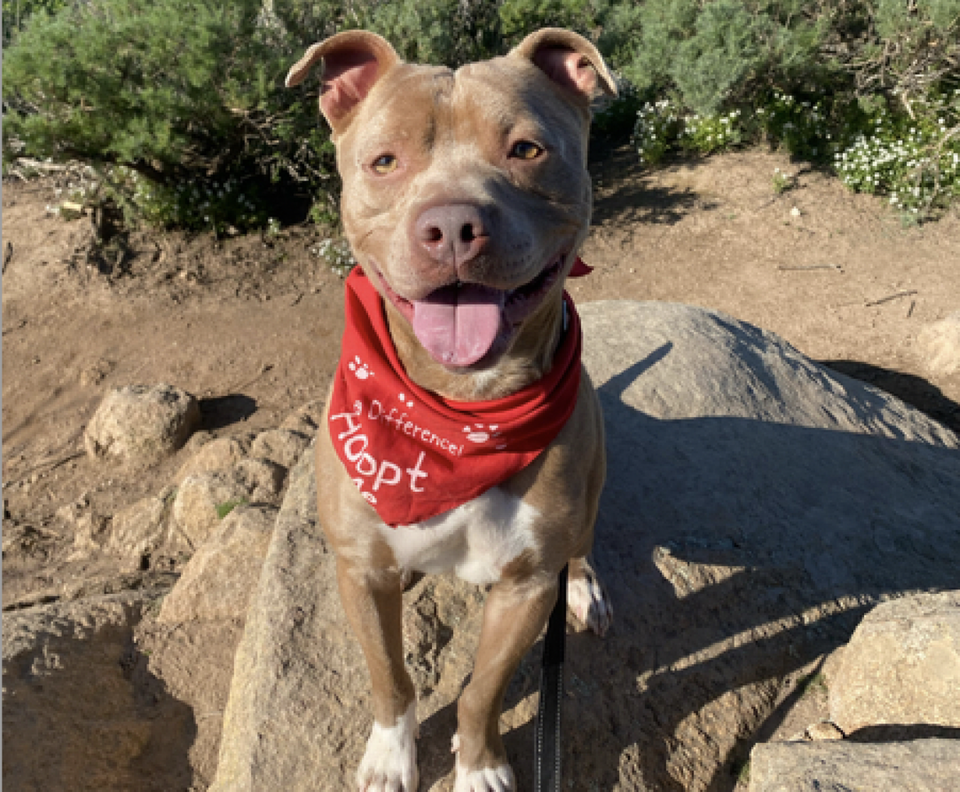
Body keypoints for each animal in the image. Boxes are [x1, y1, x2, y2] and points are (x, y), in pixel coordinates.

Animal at [284, 27, 616, 792]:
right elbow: (390, 677)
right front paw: (389, 755)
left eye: (526, 149)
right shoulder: (358, 571)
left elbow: (481, 692)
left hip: (594, 475)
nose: (454, 224)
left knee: (582, 543)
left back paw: (585, 587)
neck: (460, 416)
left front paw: (481, 766)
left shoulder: (524, 589)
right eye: (385, 161)